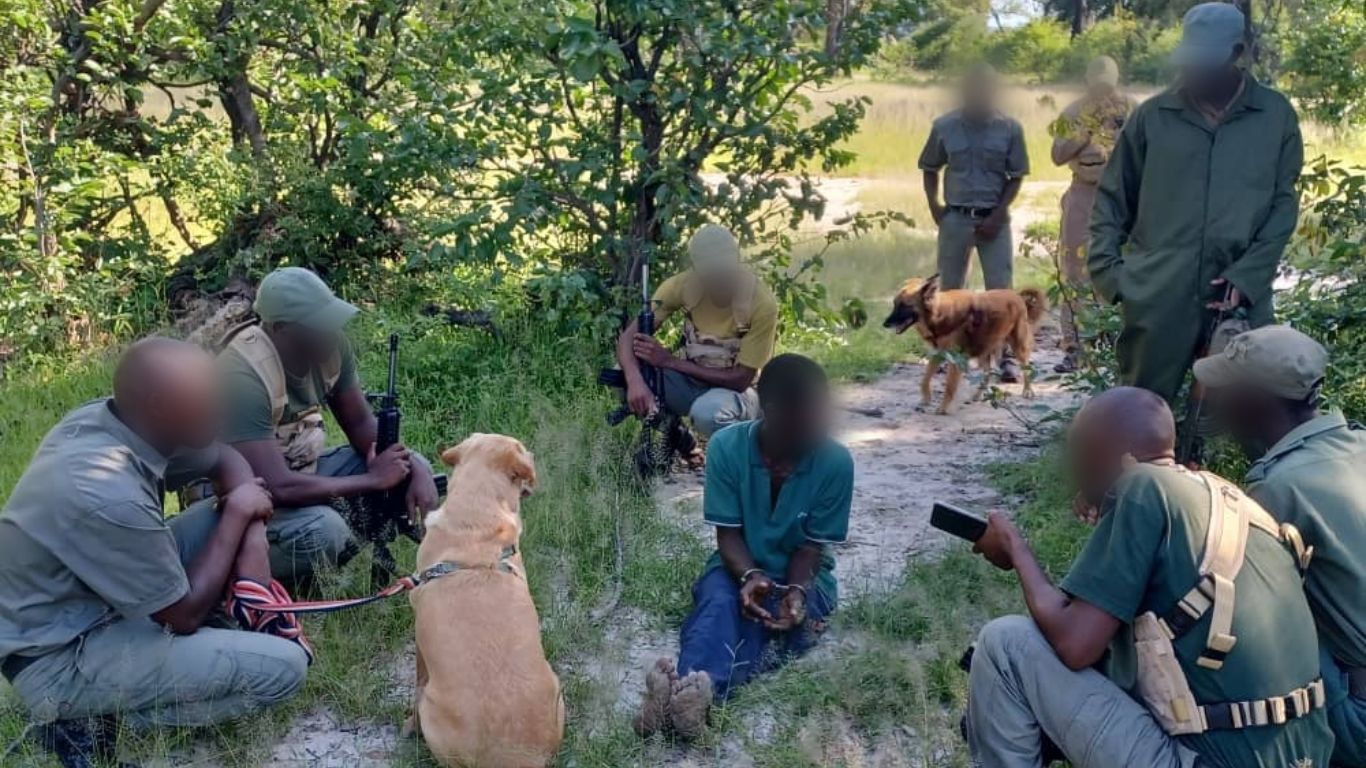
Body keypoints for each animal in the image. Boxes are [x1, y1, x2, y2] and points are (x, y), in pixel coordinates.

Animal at [404, 434, 560, 759]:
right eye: (523, 448)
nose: (533, 455)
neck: (475, 514)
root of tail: (516, 758)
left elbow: (418, 677)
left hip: (430, 709)